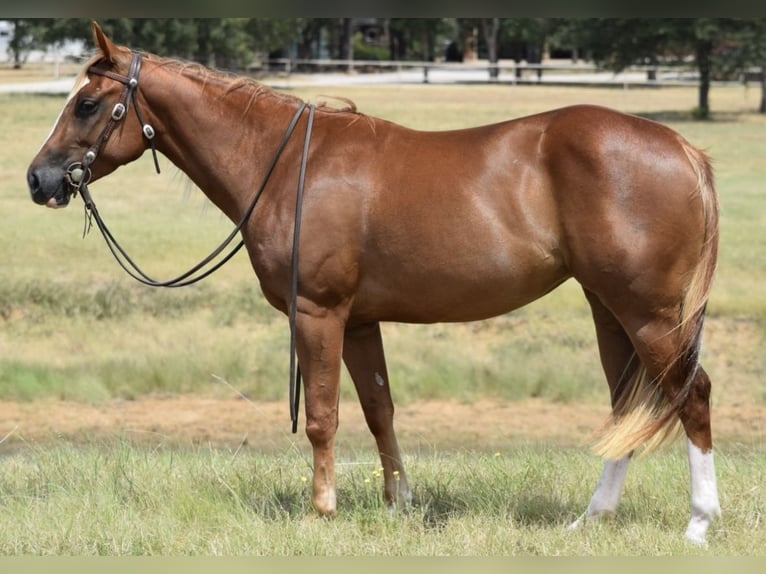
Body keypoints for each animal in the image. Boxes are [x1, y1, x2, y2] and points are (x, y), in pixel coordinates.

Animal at [25, 21, 720, 544]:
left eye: (88, 103)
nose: (38, 179)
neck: (286, 165)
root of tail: (683, 148)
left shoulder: (318, 314)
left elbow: (323, 416)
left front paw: (322, 510)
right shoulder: (360, 322)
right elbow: (379, 410)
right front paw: (398, 504)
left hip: (651, 315)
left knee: (691, 395)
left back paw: (698, 524)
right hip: (609, 308)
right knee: (627, 405)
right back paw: (592, 519)